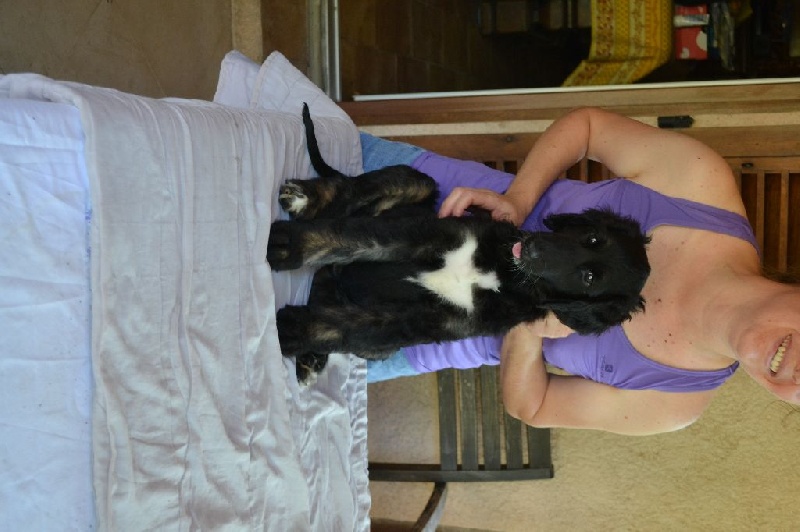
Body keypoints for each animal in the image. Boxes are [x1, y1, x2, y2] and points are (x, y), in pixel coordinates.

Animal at [268, 104, 651, 382]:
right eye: (592, 237)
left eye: (589, 278)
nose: (533, 247)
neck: (503, 274)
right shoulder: (426, 235)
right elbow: (353, 237)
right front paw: (288, 245)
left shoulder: (433, 320)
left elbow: (344, 327)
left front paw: (290, 332)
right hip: (417, 184)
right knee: (346, 193)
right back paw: (304, 199)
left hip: (380, 347)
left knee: (329, 288)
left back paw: (311, 356)